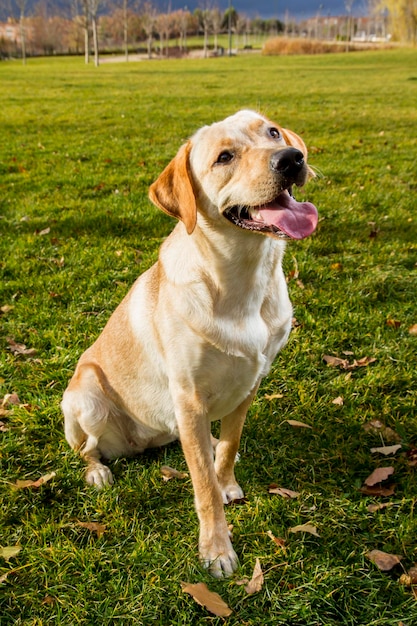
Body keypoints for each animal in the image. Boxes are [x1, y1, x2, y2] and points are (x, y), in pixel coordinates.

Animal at [61, 109, 316, 576]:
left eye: (272, 132)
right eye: (224, 157)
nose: (291, 158)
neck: (243, 277)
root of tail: (137, 443)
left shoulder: (251, 383)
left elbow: (230, 448)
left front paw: (227, 479)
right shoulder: (190, 397)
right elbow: (203, 486)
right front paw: (216, 549)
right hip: (84, 397)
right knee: (86, 449)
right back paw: (97, 472)